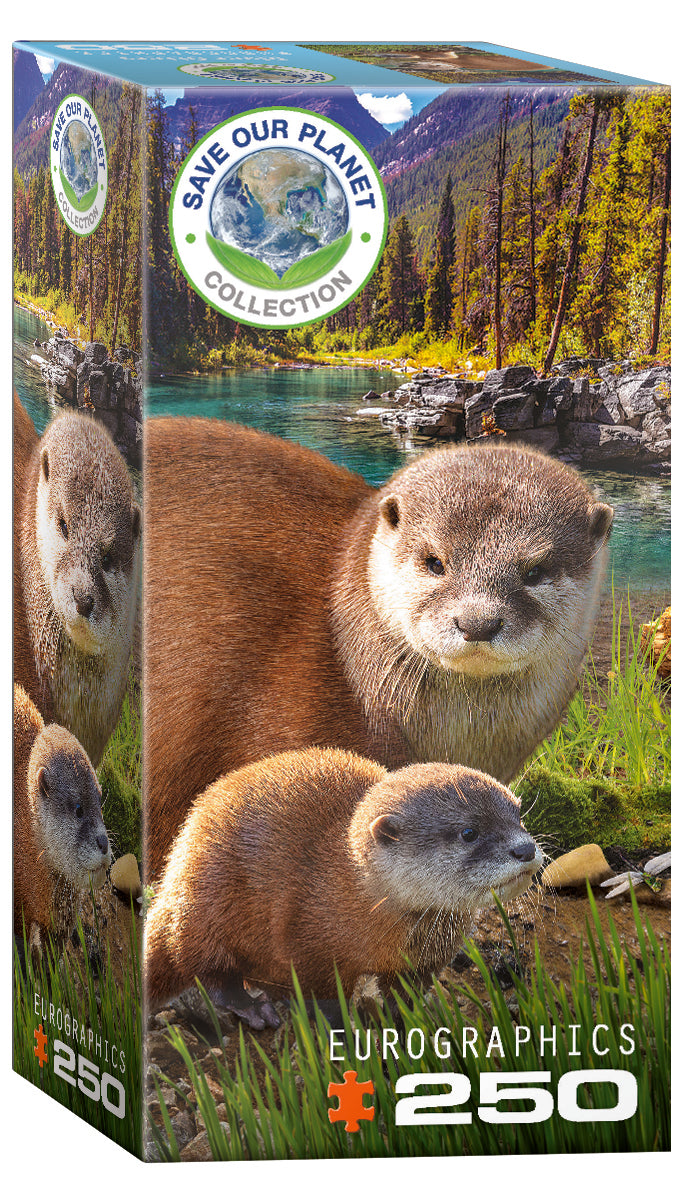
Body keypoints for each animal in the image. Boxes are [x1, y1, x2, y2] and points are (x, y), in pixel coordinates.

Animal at [144, 747, 542, 1017]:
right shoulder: (308, 941)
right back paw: (252, 1009)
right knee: (200, 965)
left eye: (518, 813)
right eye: (469, 832)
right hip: (208, 901)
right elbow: (323, 996)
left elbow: (408, 995)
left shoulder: (425, 962)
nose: (525, 848)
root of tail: (175, 872)